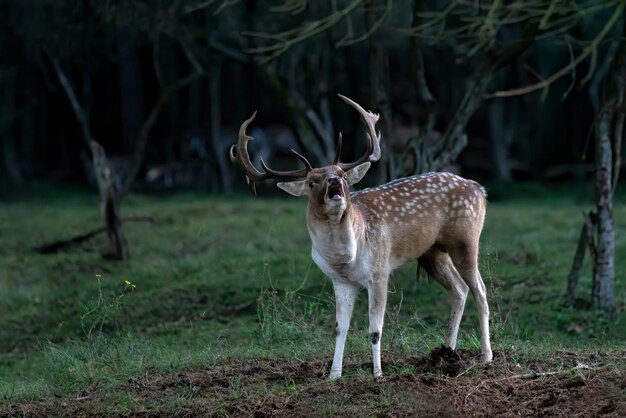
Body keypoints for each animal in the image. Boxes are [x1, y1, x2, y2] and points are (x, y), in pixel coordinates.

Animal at [227, 95, 490, 378]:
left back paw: (486, 356)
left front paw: (378, 374)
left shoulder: (380, 271)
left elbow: (375, 329)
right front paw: (334, 374)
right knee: (459, 290)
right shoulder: (340, 280)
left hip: (466, 239)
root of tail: (480, 189)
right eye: (311, 181)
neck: (346, 256)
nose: (334, 181)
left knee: (480, 289)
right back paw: (446, 353)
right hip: (433, 252)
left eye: (343, 176)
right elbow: (339, 328)